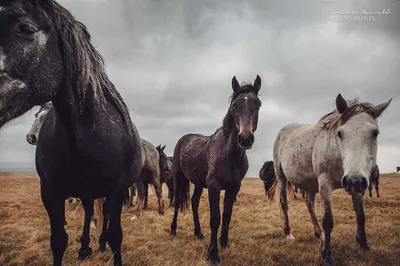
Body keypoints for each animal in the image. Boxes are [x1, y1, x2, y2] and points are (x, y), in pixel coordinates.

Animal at [0, 2, 144, 266]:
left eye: (26, 28)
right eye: (36, 116)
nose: (31, 137)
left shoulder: (117, 191)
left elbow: (116, 235)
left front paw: (106, 243)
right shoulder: (50, 192)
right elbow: (58, 240)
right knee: (88, 212)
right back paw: (86, 246)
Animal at [268, 93, 392, 264]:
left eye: (375, 133)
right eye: (340, 133)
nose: (353, 180)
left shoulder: (359, 186)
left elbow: (361, 216)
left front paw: (363, 244)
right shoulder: (325, 185)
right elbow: (328, 220)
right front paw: (327, 255)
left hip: (310, 184)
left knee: (310, 205)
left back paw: (318, 233)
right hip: (281, 177)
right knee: (284, 203)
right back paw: (288, 233)